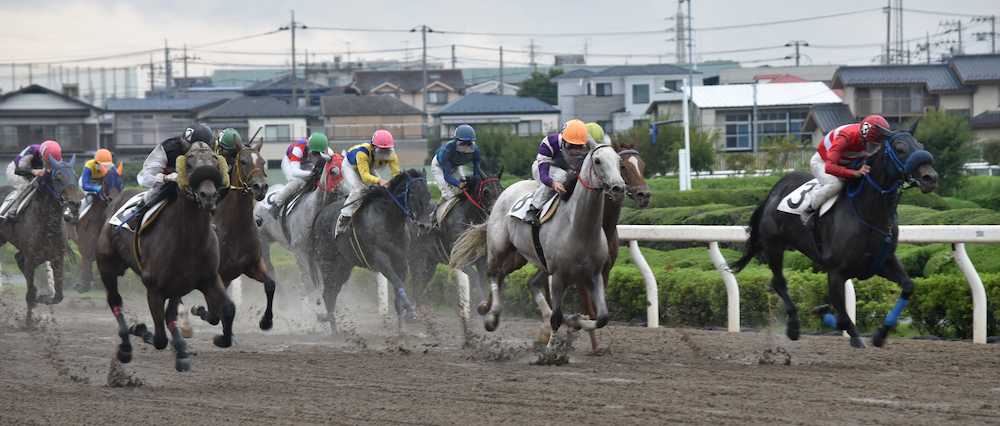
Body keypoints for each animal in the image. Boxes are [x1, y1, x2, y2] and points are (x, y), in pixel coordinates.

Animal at [96, 141, 231, 372]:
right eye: (189, 163)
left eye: (214, 161)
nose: (208, 196)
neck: (189, 240)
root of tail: (116, 200)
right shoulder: (155, 289)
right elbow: (159, 339)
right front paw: (140, 330)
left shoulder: (209, 278)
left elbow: (227, 309)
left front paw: (220, 339)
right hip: (107, 266)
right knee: (115, 301)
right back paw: (126, 346)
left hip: (178, 285)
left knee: (170, 316)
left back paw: (181, 348)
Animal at [188, 140, 272, 330]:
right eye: (243, 161)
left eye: (263, 162)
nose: (261, 187)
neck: (236, 227)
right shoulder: (215, 275)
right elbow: (213, 315)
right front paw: (198, 309)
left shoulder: (251, 265)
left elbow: (270, 285)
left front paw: (266, 321)